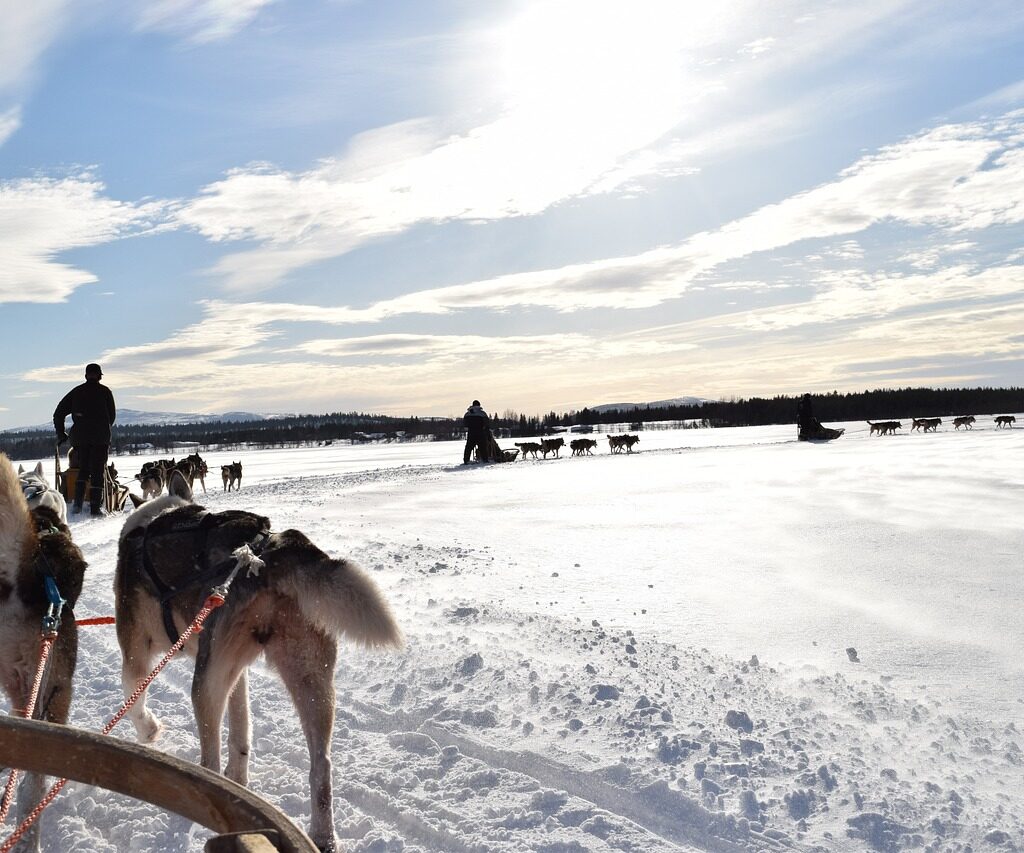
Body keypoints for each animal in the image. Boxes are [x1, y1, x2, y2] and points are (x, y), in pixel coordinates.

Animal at [113, 473, 399, 851]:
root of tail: (268, 552)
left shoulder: (135, 654)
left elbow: (134, 700)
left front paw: (149, 730)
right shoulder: (234, 671)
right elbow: (241, 732)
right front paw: (240, 780)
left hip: (204, 685)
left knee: (210, 760)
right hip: (308, 680)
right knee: (321, 766)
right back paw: (322, 834)